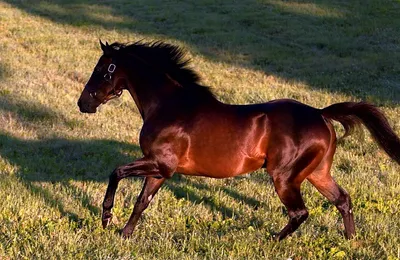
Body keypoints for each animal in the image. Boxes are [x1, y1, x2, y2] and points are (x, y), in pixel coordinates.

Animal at [77, 40, 400, 240]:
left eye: (101, 70)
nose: (83, 103)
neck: (169, 105)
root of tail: (321, 114)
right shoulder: (161, 170)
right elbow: (142, 202)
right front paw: (124, 234)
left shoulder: (160, 164)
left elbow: (117, 172)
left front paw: (106, 217)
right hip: (317, 173)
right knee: (342, 199)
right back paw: (351, 239)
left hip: (285, 177)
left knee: (300, 212)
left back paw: (274, 240)